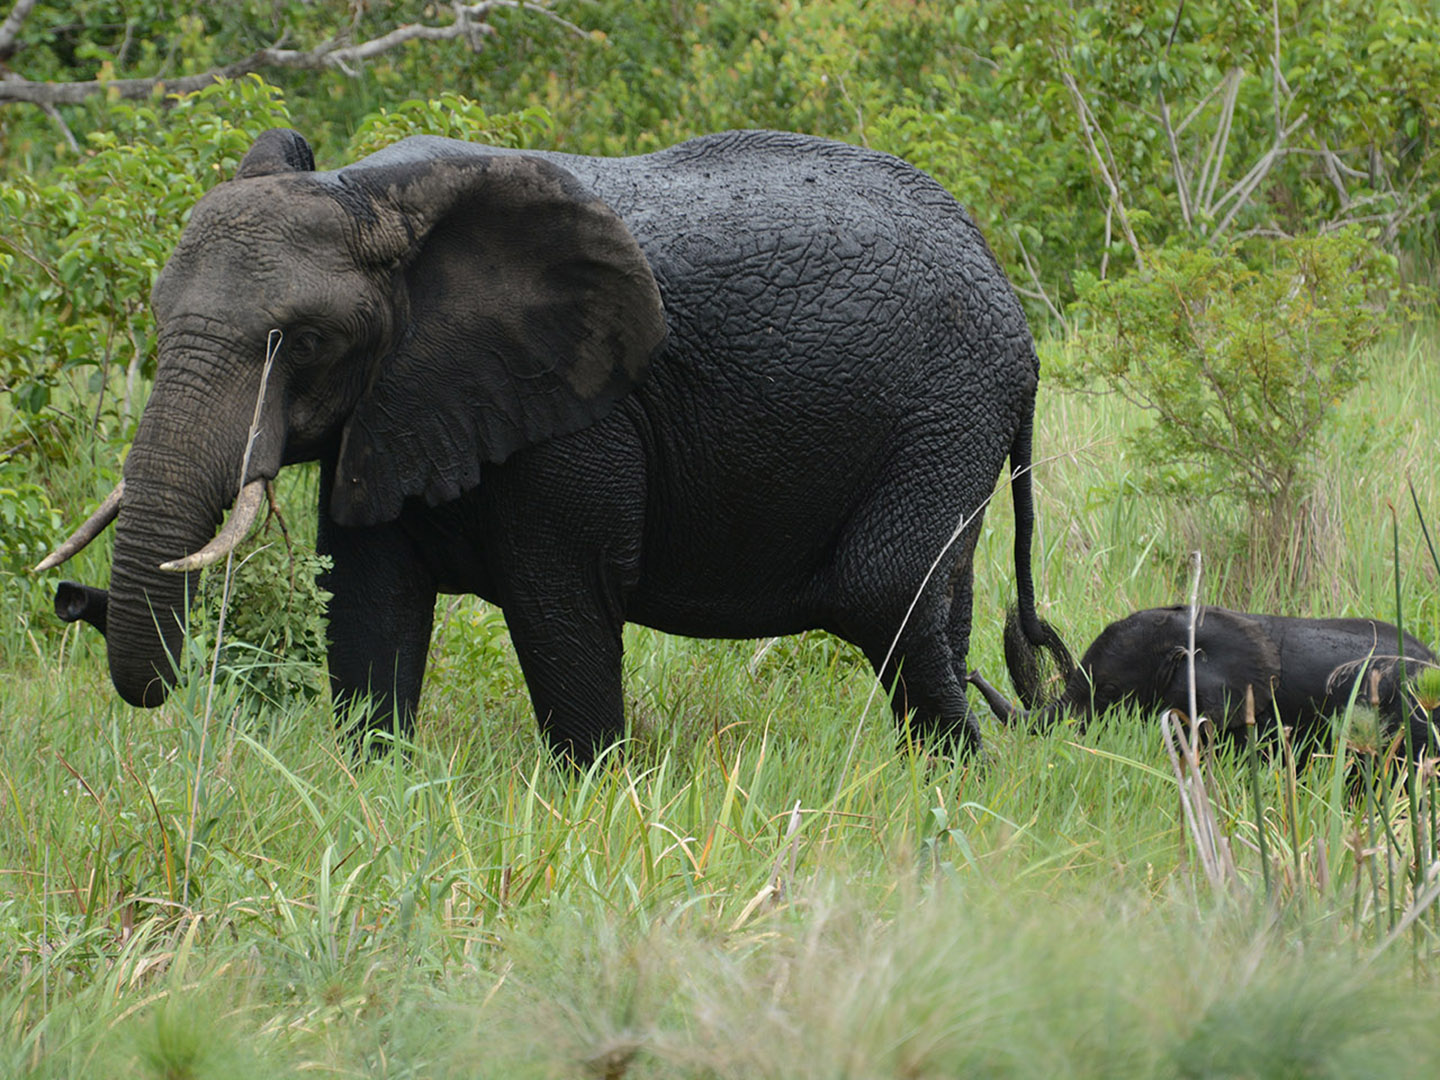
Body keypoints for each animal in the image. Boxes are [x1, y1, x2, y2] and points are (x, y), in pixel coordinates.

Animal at [42, 126, 1071, 766]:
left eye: (302, 343)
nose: (70, 597)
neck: (374, 195)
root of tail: (1011, 307)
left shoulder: (581, 420)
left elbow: (559, 605)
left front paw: (595, 798)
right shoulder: (391, 408)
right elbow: (369, 608)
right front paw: (374, 790)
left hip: (945, 409)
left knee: (884, 591)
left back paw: (962, 791)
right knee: (938, 603)